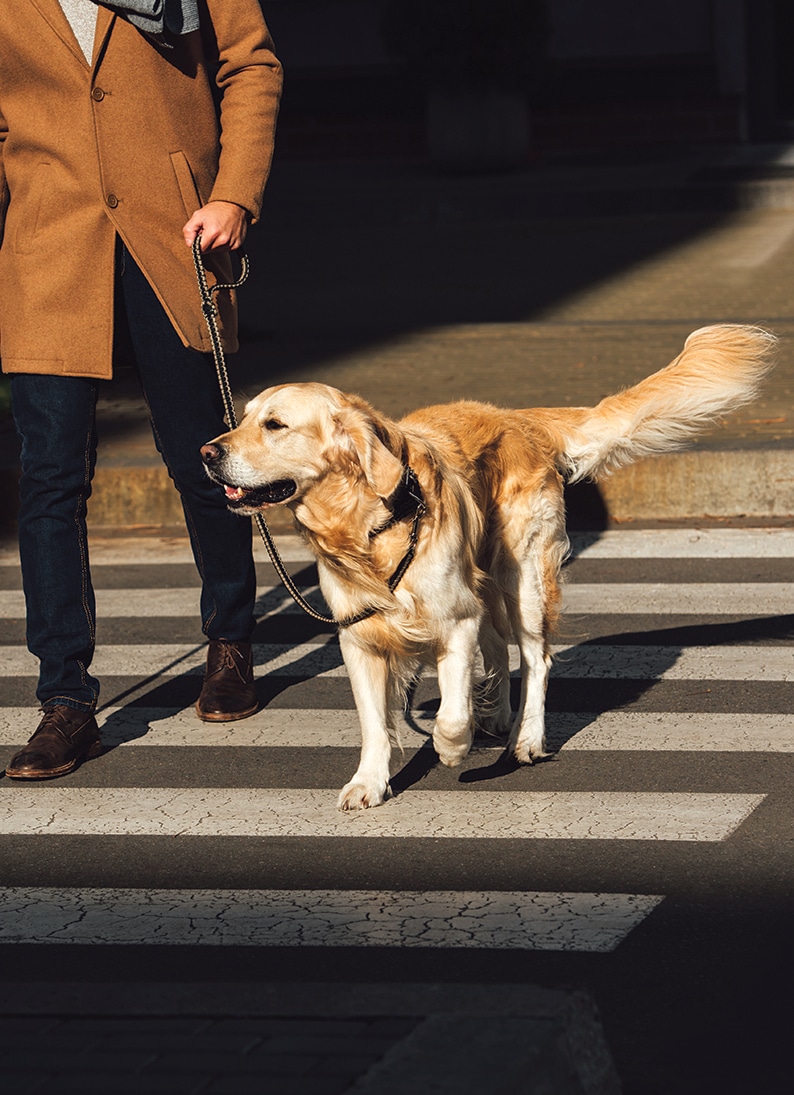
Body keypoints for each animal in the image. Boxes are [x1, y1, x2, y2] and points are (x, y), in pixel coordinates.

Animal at [199, 319, 775, 810]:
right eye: (242, 419)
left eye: (274, 425)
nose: (206, 453)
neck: (368, 526)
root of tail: (517, 418)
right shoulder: (359, 638)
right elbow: (373, 723)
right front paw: (369, 782)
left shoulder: (454, 619)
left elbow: (452, 713)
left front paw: (452, 747)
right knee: (498, 646)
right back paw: (497, 714)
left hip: (523, 577)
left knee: (536, 659)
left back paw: (525, 738)